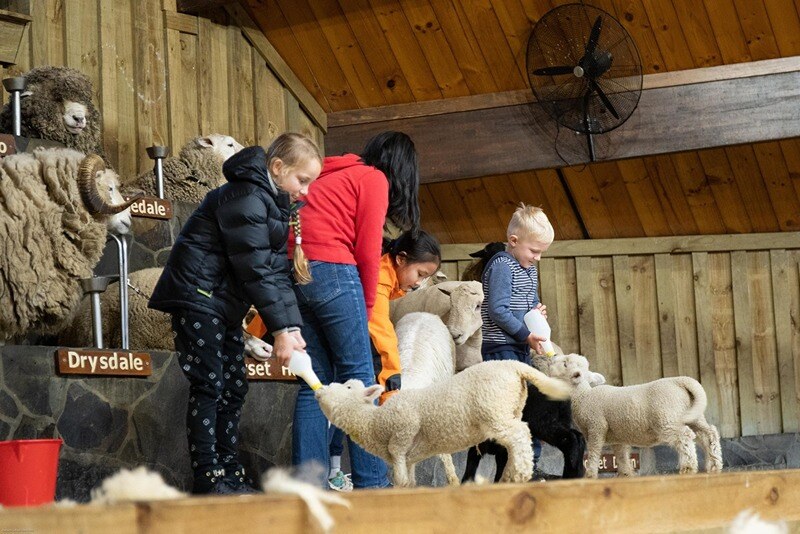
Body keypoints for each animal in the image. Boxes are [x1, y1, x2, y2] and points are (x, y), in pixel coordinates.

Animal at [316, 360, 572, 490]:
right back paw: (510, 475)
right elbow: (408, 480)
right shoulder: (410, 458)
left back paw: (520, 474)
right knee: (514, 443)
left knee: (520, 435)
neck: (375, 422)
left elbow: (399, 465)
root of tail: (514, 365)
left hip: (494, 410)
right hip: (511, 408)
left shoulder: (404, 428)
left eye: (348, 387)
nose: (321, 389)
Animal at [552, 354, 724, 480]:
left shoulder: (596, 427)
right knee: (708, 434)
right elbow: (621, 455)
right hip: (693, 415)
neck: (584, 396)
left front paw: (590, 475)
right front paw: (626, 474)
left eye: (565, 364)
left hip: (667, 418)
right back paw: (714, 464)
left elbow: (594, 453)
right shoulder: (617, 436)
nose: (553, 356)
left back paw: (688, 467)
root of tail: (681, 381)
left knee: (685, 436)